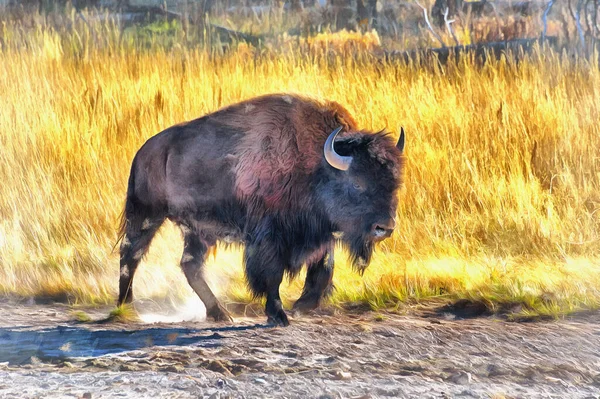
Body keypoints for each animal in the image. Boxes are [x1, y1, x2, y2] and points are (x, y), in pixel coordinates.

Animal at [116, 94, 408, 328]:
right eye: (357, 182)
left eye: (396, 183)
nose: (384, 228)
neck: (316, 166)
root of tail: (144, 151)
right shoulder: (270, 237)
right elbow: (272, 274)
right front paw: (279, 315)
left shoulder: (320, 234)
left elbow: (323, 269)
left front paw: (301, 306)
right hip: (146, 214)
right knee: (131, 255)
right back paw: (126, 307)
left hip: (197, 230)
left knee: (190, 266)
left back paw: (220, 314)